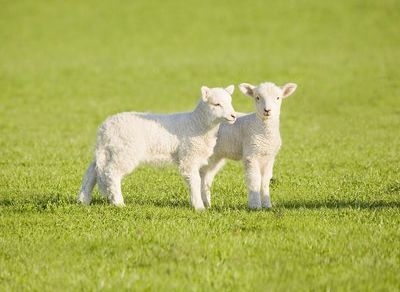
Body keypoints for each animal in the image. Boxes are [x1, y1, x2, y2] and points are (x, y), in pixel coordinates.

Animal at [76, 84, 236, 210]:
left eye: (230, 102)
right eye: (217, 104)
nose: (233, 116)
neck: (197, 124)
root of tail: (105, 128)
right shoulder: (189, 157)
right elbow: (195, 181)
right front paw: (199, 207)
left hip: (109, 150)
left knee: (92, 171)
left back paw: (83, 199)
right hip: (125, 151)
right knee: (111, 173)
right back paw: (119, 203)